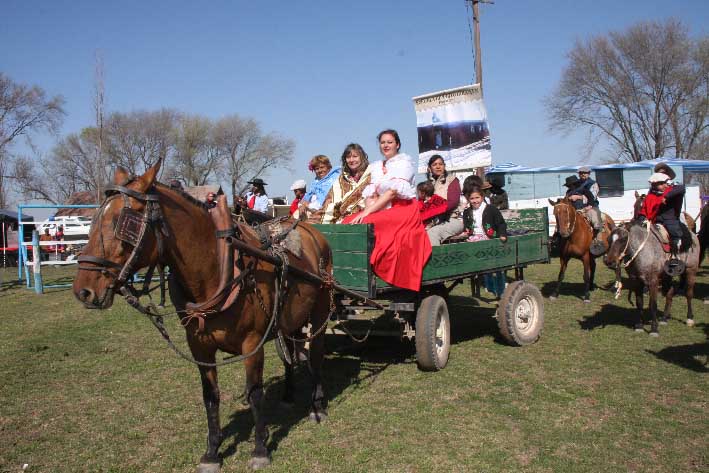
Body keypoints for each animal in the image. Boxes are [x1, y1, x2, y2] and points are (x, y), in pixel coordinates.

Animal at [72, 160, 332, 470]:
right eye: (92, 221)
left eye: (123, 222)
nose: (83, 291)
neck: (220, 267)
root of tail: (311, 230)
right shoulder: (199, 345)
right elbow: (210, 396)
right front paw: (212, 452)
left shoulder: (252, 343)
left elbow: (255, 393)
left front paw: (259, 449)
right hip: (289, 318)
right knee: (290, 351)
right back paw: (289, 394)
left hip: (320, 309)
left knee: (315, 354)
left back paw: (317, 405)